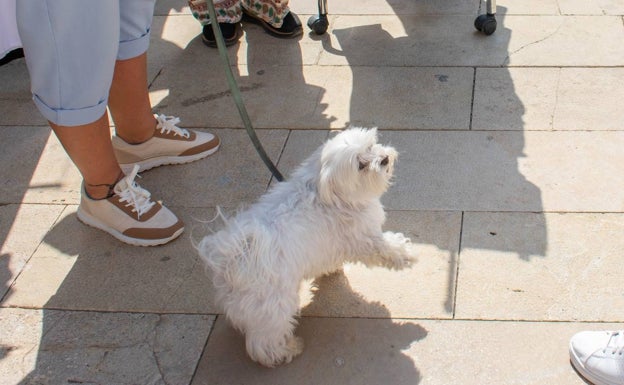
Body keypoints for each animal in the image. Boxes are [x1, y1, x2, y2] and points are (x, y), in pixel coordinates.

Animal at [197, 128, 416, 366]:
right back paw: (286, 350)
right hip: (274, 305)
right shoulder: (363, 238)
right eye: (361, 165)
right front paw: (407, 254)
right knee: (263, 342)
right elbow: (386, 249)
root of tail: (233, 258)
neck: (328, 194)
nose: (384, 159)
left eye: (369, 146)